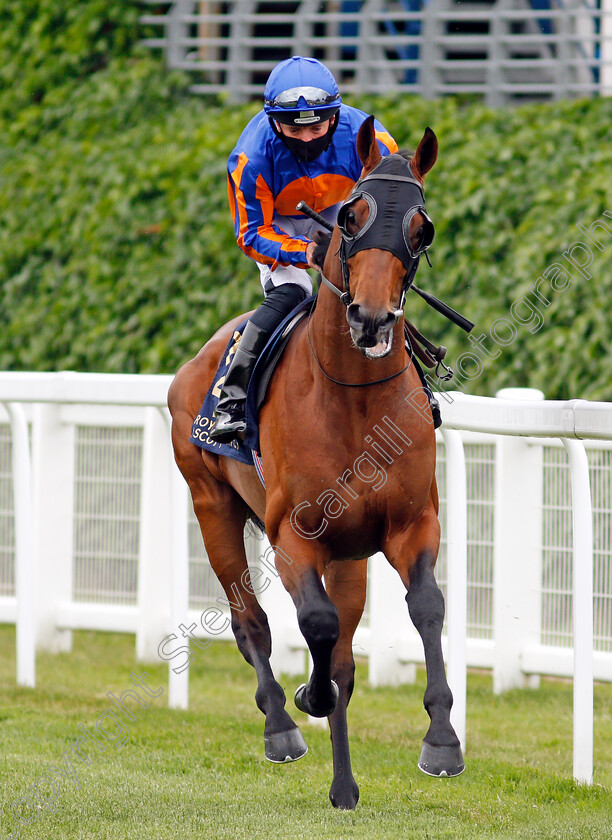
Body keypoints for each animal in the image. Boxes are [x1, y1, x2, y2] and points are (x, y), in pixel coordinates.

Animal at [167, 116, 464, 808]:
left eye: (422, 228)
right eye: (351, 216)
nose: (372, 318)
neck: (353, 399)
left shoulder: (412, 525)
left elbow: (424, 608)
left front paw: (441, 740)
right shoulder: (293, 536)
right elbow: (316, 624)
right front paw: (309, 694)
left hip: (350, 553)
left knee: (347, 650)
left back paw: (345, 786)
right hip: (212, 504)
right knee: (251, 621)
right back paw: (280, 724)